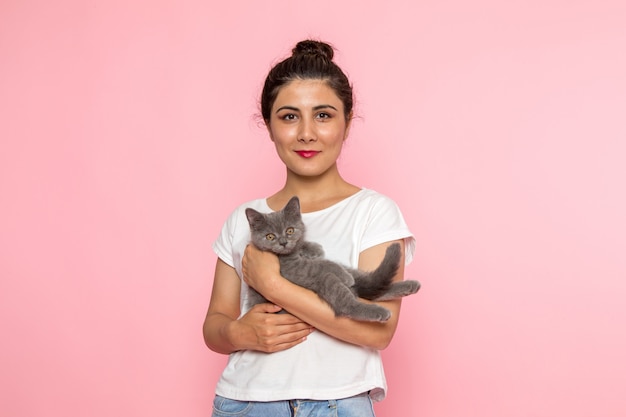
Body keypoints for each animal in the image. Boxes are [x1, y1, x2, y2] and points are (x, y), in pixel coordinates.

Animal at [244, 195, 420, 322]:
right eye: (270, 236)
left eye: (290, 230)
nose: (283, 243)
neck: (287, 255)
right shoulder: (293, 269)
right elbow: (321, 264)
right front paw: (318, 254)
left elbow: (307, 248)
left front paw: (313, 248)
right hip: (326, 281)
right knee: (349, 303)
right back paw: (375, 307)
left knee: (368, 285)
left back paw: (410, 286)